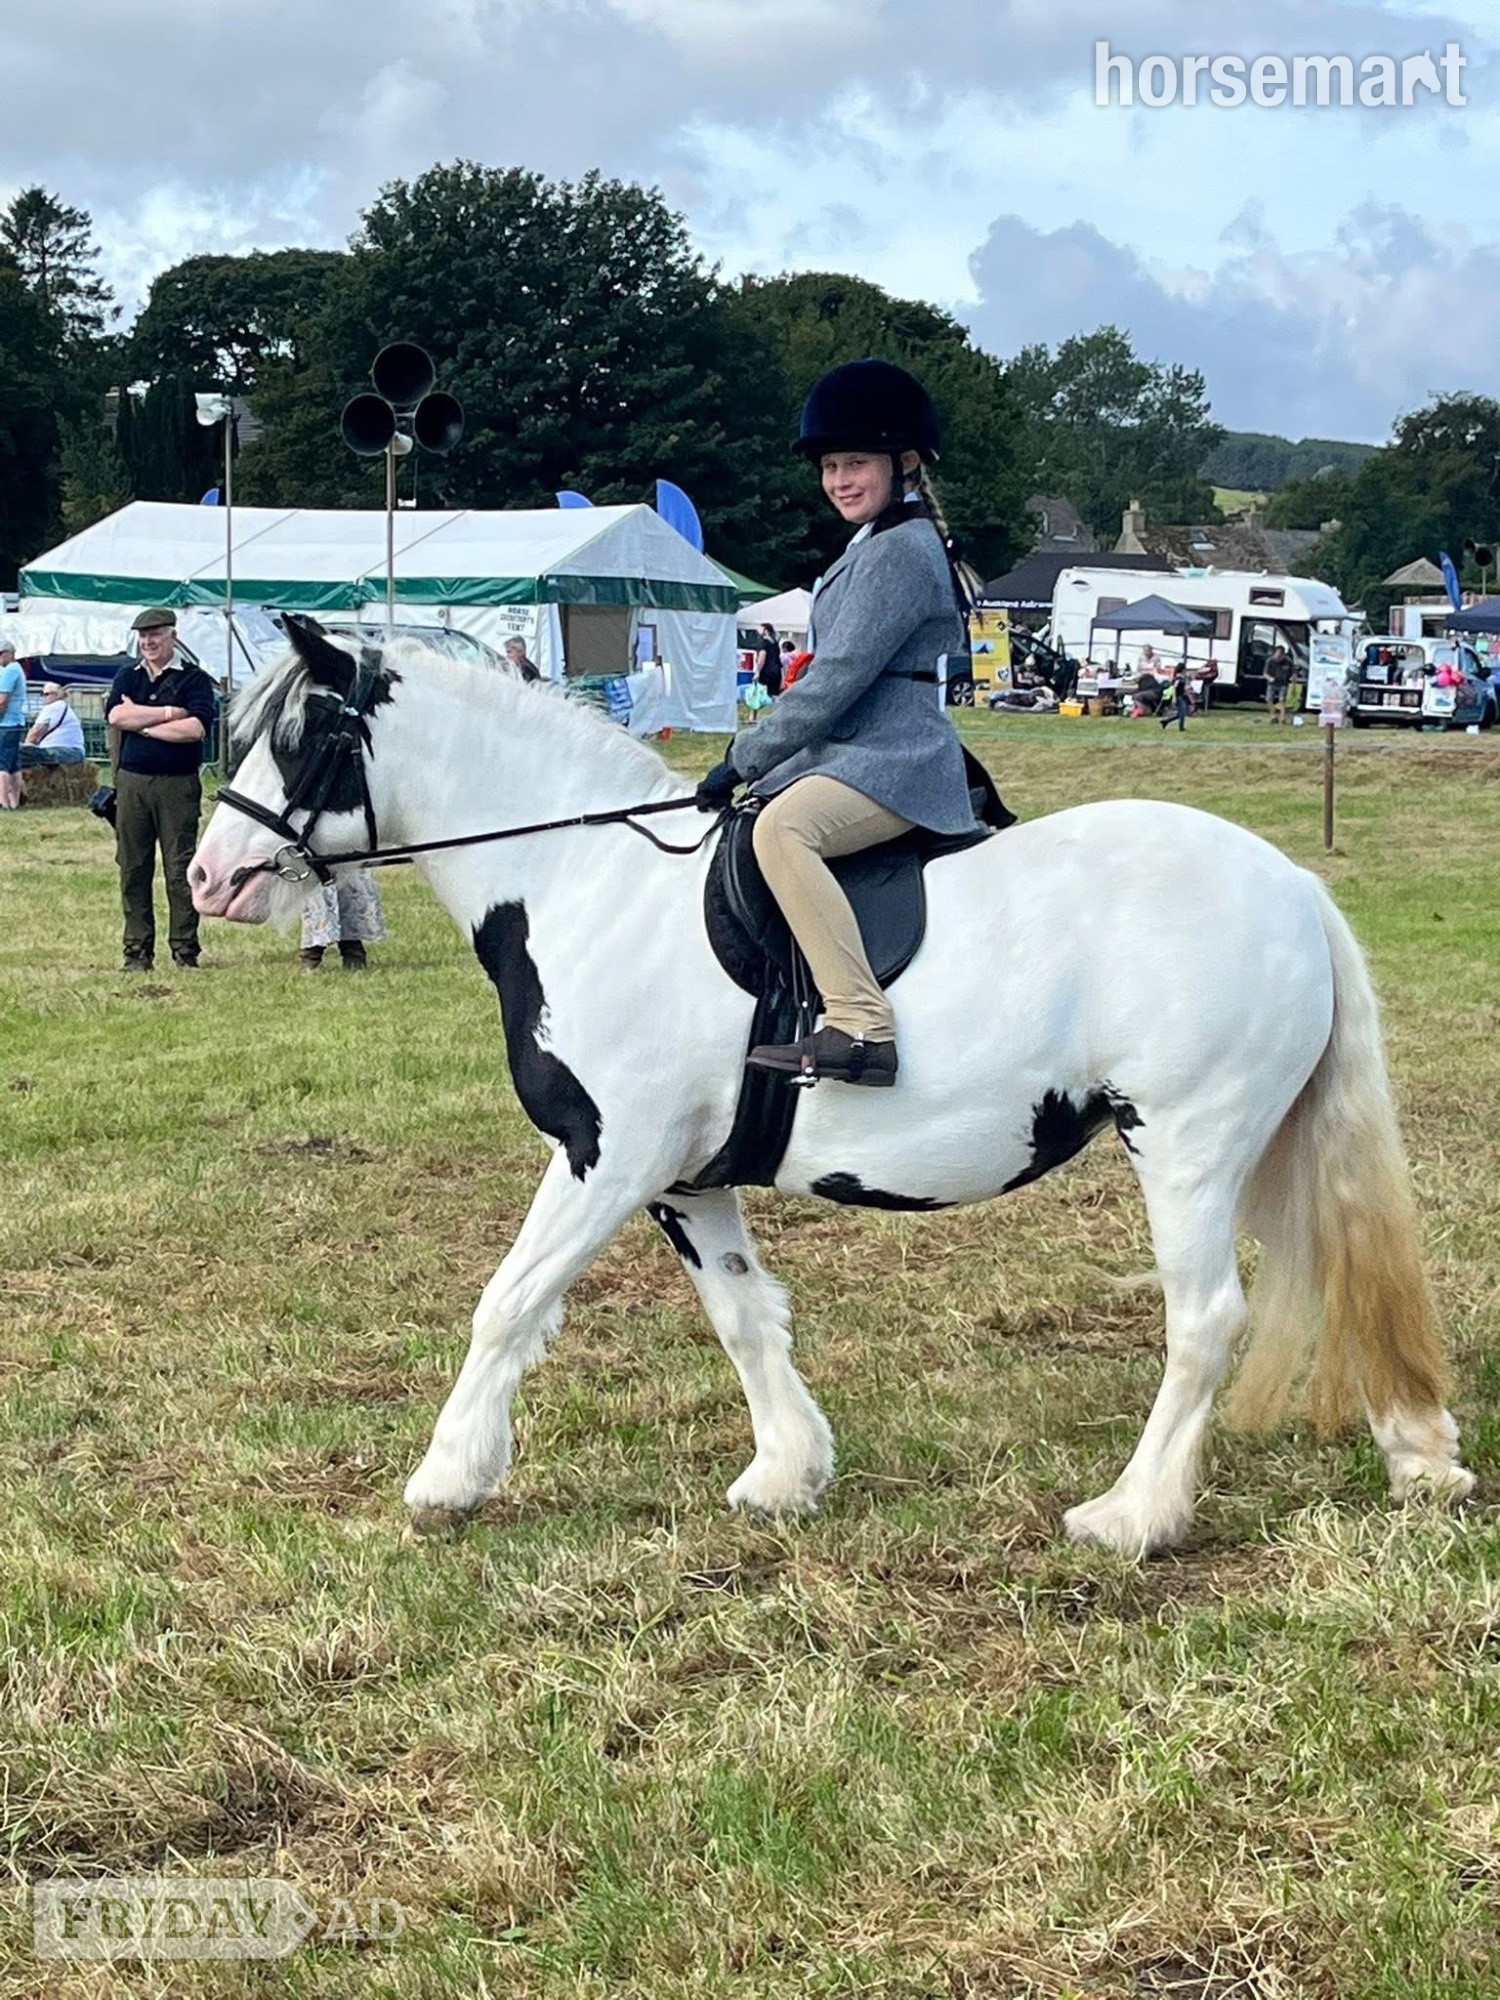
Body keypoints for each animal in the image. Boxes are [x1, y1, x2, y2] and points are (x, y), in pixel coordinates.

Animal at [188, 621, 1473, 1556]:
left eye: (304, 734)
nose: (206, 876)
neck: (584, 878)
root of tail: (1291, 882)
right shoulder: (684, 1179)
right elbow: (743, 1314)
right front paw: (785, 1472)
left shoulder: (608, 1153)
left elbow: (507, 1301)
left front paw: (448, 1476)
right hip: (1261, 1143)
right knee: (1339, 1268)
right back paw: (1422, 1457)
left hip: (1189, 1146)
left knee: (1205, 1320)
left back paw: (1131, 1515)